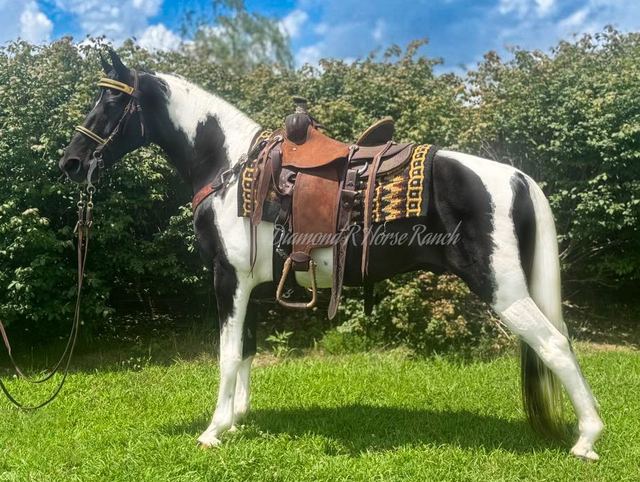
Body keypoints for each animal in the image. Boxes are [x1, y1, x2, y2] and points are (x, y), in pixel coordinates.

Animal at [59, 49, 603, 460]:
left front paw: (213, 430)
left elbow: (228, 352)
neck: (231, 168)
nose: (71, 162)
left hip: (503, 290)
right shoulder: (250, 285)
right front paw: (237, 421)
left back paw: (587, 439)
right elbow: (248, 348)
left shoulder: (228, 279)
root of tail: (516, 176)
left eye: (111, 100)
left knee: (556, 345)